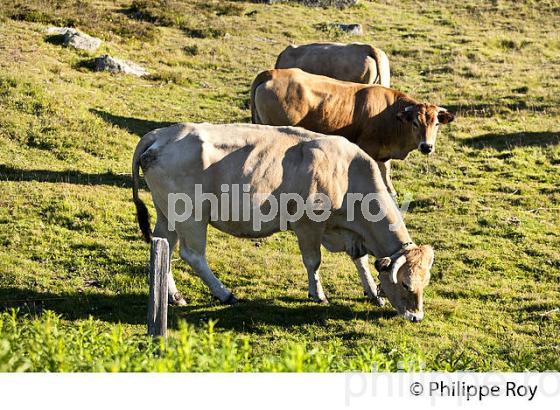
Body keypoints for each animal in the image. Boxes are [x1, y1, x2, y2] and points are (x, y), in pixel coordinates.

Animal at [133, 123, 436, 322]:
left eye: (425, 283)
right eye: (406, 284)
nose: (416, 316)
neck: (349, 174)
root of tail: (162, 133)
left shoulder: (347, 232)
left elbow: (359, 260)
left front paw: (373, 292)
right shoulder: (308, 226)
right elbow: (313, 261)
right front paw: (318, 294)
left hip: (167, 214)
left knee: (163, 247)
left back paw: (173, 296)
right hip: (191, 215)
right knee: (192, 254)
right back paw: (225, 294)